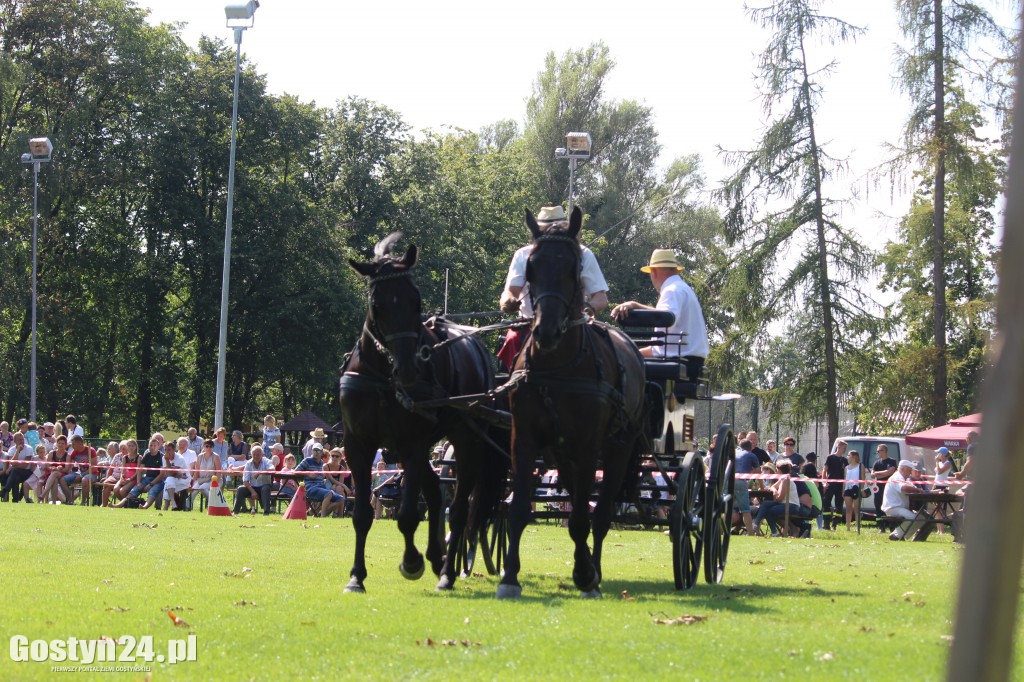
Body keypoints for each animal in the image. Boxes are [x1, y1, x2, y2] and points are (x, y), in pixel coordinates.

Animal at [339, 233, 507, 589]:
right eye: (377, 305)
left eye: (415, 300)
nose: (408, 369)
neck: (383, 379)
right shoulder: (358, 445)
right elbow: (361, 515)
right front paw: (357, 575)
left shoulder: (413, 444)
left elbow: (406, 516)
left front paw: (411, 561)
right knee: (435, 496)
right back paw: (437, 556)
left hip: (466, 442)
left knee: (458, 510)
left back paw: (446, 572)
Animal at [497, 205, 647, 593]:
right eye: (531, 267)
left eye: (573, 268)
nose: (546, 331)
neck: (558, 367)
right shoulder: (524, 438)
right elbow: (518, 508)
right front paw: (509, 575)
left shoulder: (588, 445)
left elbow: (582, 517)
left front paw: (584, 573)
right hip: (561, 455)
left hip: (619, 448)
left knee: (602, 513)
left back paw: (594, 570)